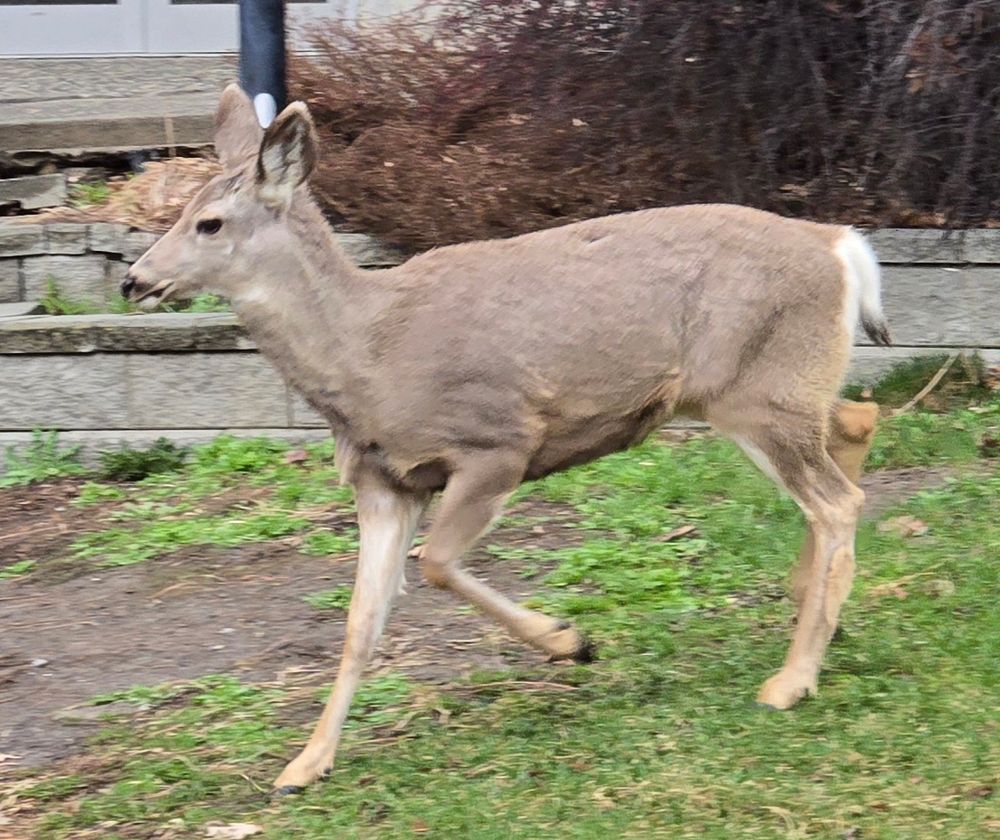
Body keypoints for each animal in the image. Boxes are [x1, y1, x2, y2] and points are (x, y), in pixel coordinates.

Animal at [121, 84, 891, 794]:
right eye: (177, 213)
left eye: (210, 222)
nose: (134, 279)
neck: (368, 354)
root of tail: (839, 245)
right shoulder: (384, 480)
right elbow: (361, 622)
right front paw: (304, 765)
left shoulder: (498, 440)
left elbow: (436, 564)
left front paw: (570, 641)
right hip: (778, 389)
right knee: (859, 421)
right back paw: (814, 610)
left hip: (754, 391)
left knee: (837, 501)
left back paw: (791, 679)